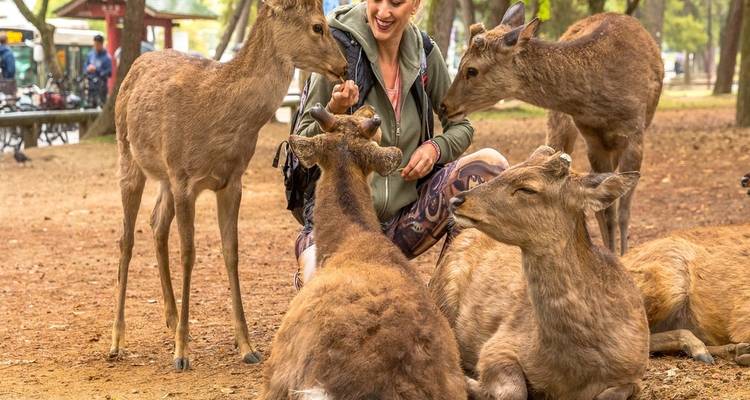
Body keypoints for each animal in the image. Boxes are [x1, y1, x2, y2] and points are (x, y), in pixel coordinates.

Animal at [109, 0, 347, 371]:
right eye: (318, 26)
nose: (344, 65)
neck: (219, 116)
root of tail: (135, 66)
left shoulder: (232, 180)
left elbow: (231, 251)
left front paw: (246, 346)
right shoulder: (183, 177)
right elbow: (189, 253)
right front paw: (182, 353)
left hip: (163, 177)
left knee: (156, 223)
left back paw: (171, 318)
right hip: (128, 155)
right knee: (126, 238)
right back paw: (118, 341)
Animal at [431, 145, 649, 400]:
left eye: (528, 188)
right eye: (508, 170)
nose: (457, 200)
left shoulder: (635, 372)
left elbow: (610, 394)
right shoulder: (498, 344)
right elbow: (514, 390)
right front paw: (472, 384)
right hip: (441, 297)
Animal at [439, 2, 664, 255]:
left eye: (471, 70)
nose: (444, 106)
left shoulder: (634, 132)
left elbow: (623, 209)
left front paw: (624, 254)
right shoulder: (592, 138)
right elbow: (606, 210)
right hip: (559, 124)